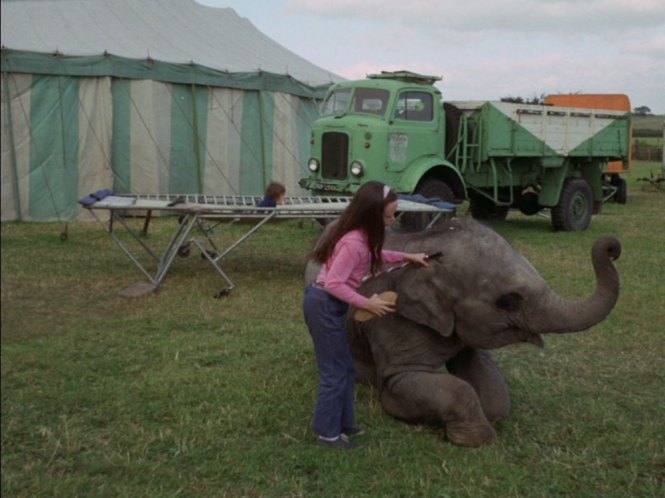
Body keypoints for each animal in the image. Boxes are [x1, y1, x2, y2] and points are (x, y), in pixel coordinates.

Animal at [304, 218, 620, 448]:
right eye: (508, 301)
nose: (612, 247)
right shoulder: (391, 320)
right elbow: (414, 386)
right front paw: (477, 440)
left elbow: (493, 391)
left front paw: (488, 415)